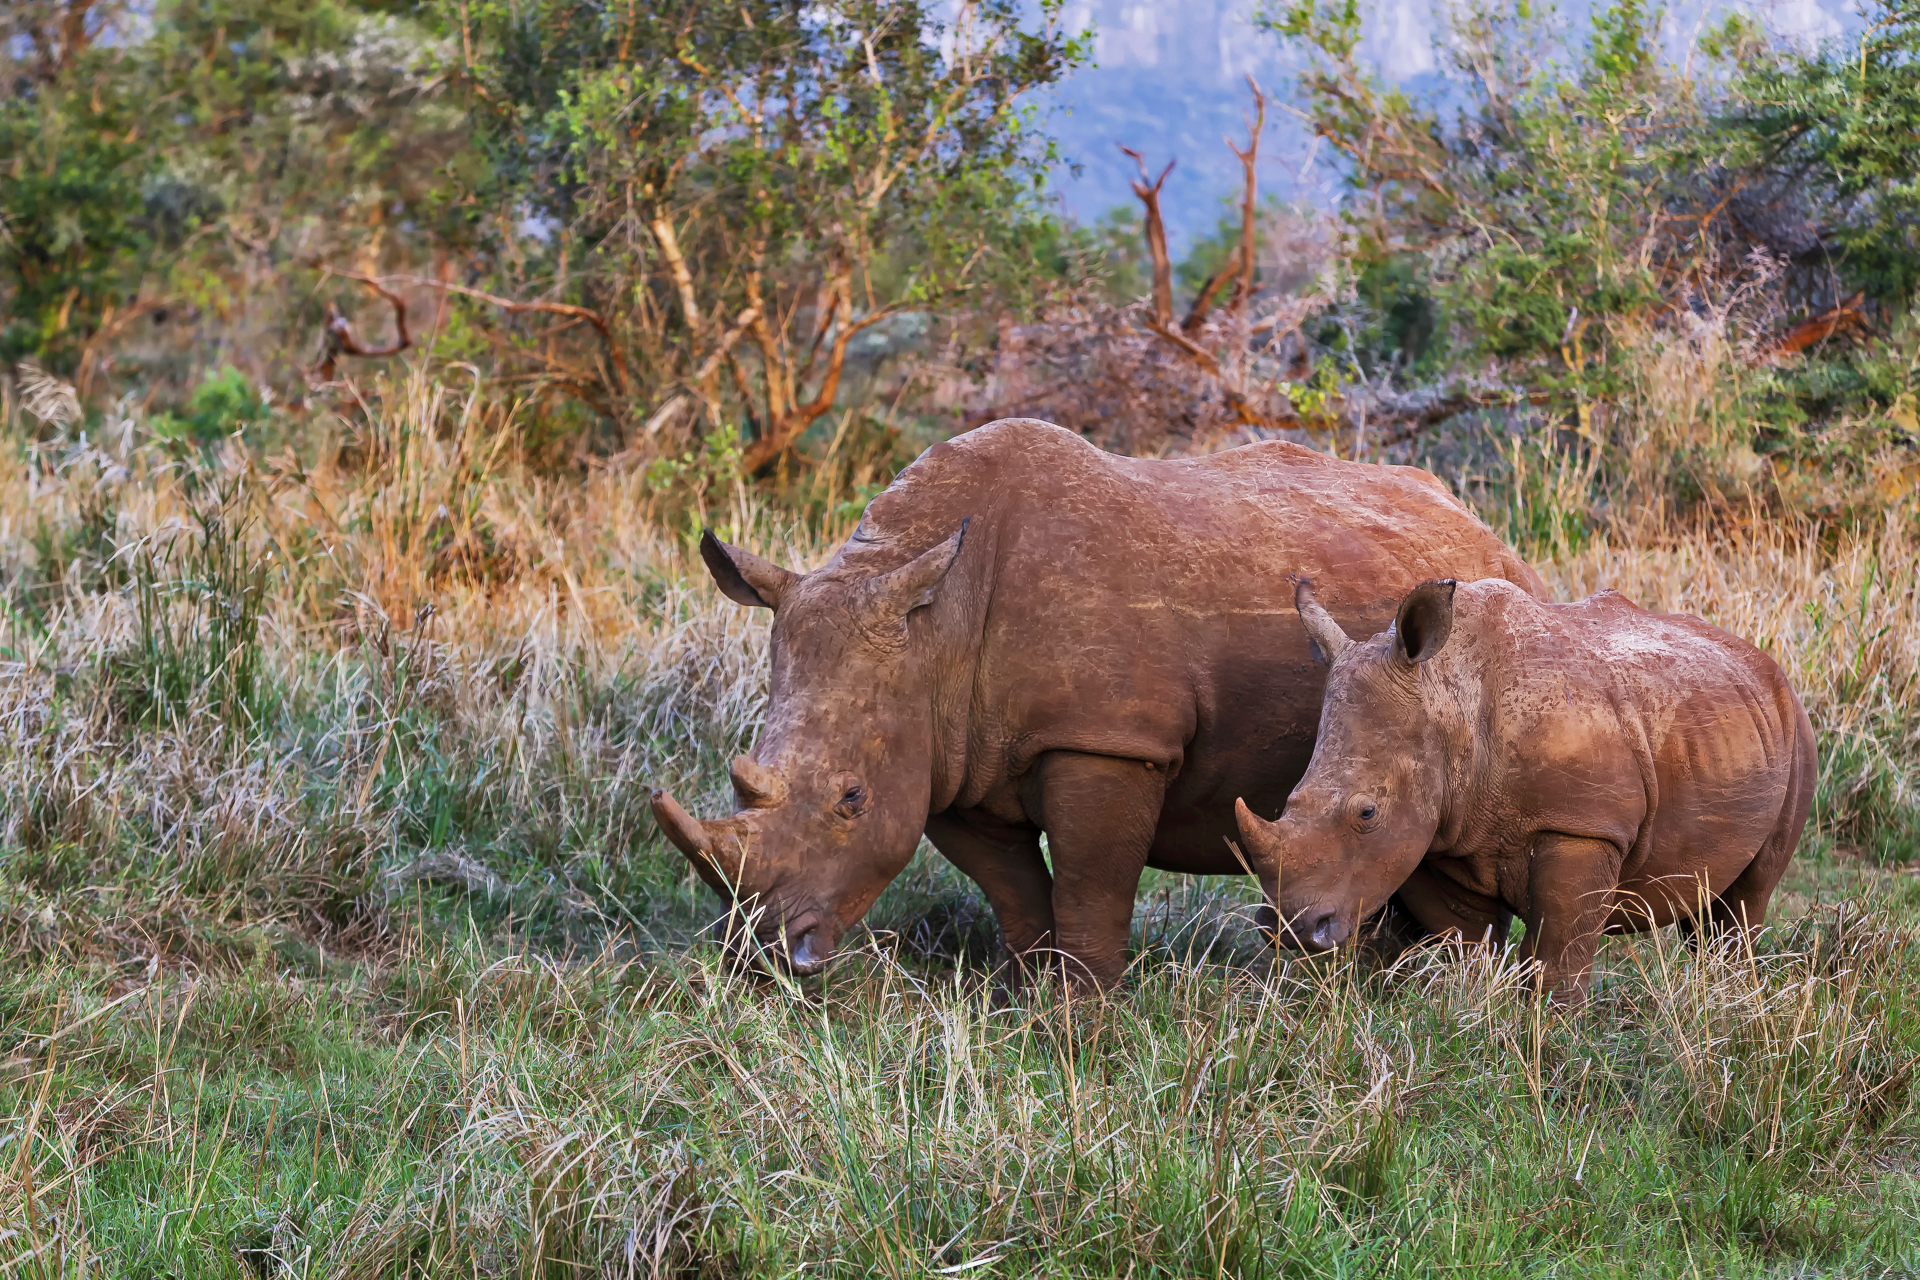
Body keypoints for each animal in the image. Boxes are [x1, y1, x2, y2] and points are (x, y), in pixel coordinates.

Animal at [650, 418, 1546, 986]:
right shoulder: (949, 752)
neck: (936, 623)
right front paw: (1025, 998)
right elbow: (1014, 891)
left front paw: (1085, 1015)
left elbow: (1091, 884)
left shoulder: (1108, 737)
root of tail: (1484, 528)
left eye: (850, 800)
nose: (765, 956)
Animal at [1234, 577, 1816, 999]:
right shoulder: (1443, 835)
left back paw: (1729, 996)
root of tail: (1768, 666)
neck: (1449, 697)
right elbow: (1466, 941)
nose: (1290, 930)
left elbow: (1559, 948)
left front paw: (1553, 1031)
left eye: (1367, 813)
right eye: (1288, 802)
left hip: (1797, 734)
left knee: (1747, 898)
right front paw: (1474, 1005)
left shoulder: (1583, 825)